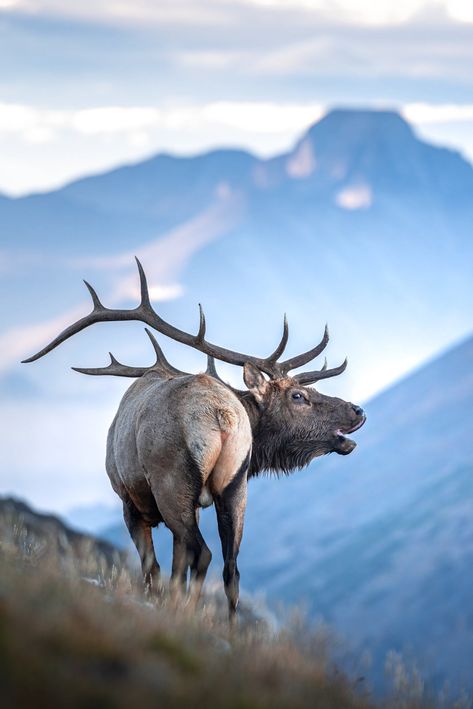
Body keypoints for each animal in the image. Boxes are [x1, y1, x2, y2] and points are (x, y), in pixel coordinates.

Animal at [23, 260, 366, 620]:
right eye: (299, 396)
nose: (358, 410)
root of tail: (222, 415)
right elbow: (178, 567)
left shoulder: (129, 502)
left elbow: (154, 568)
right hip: (234, 487)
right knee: (230, 567)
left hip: (171, 484)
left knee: (202, 554)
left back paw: (186, 613)